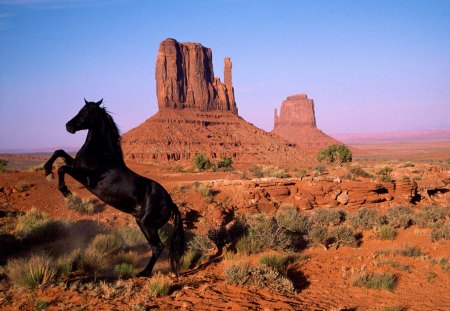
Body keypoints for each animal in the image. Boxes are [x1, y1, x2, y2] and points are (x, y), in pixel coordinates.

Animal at [44, 98, 185, 276]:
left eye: (87, 112)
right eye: (81, 109)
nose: (68, 126)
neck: (102, 155)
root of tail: (170, 203)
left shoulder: (87, 179)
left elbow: (62, 168)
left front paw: (65, 191)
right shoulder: (76, 165)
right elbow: (59, 152)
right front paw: (47, 170)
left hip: (147, 225)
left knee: (157, 247)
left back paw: (144, 272)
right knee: (156, 247)